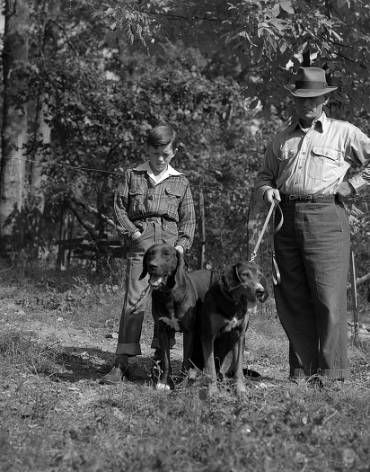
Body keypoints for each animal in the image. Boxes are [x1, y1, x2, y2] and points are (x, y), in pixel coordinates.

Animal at [139, 243, 214, 390]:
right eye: (150, 253)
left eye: (167, 254)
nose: (152, 265)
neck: (168, 293)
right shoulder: (162, 330)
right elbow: (166, 360)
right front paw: (163, 382)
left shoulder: (189, 332)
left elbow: (185, 359)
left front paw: (182, 382)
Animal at [201, 260, 268, 396]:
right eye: (245, 274)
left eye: (259, 276)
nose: (260, 291)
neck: (233, 303)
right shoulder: (208, 336)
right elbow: (211, 368)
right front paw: (213, 391)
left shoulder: (240, 335)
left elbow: (239, 370)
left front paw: (241, 390)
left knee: (233, 372)